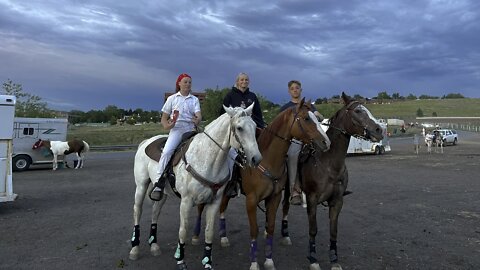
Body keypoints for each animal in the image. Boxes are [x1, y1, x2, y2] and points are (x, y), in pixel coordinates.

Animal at [129, 104, 260, 268]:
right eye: (239, 128)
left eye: (254, 126)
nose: (256, 159)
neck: (208, 160)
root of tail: (145, 142)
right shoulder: (186, 201)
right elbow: (183, 230)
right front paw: (180, 259)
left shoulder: (214, 202)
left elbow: (209, 231)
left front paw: (207, 262)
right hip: (141, 186)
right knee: (137, 211)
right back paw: (134, 248)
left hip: (162, 193)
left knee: (155, 212)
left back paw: (154, 245)